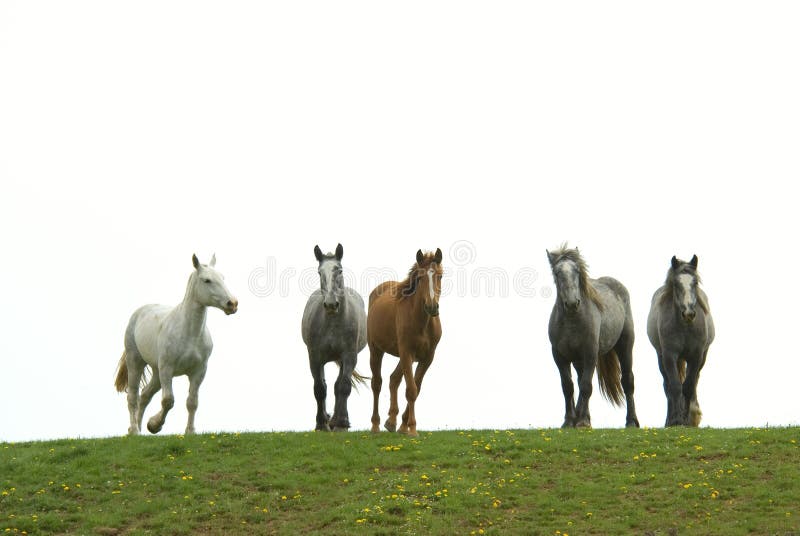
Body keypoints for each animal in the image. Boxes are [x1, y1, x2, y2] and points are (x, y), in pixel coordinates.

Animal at [114, 253, 238, 434]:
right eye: (207, 280)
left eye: (222, 277)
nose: (232, 304)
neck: (190, 334)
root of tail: (139, 313)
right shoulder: (167, 368)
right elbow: (168, 400)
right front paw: (154, 425)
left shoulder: (199, 371)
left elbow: (192, 402)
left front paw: (190, 431)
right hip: (136, 362)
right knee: (133, 396)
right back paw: (134, 430)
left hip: (157, 372)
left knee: (144, 396)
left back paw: (139, 429)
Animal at [300, 243, 368, 432]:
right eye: (319, 272)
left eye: (339, 270)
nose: (331, 304)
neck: (332, 324)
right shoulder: (315, 357)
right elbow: (319, 388)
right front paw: (321, 423)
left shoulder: (349, 356)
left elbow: (343, 386)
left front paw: (341, 423)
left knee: (339, 385)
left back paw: (338, 420)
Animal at [364, 249, 440, 438]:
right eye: (420, 277)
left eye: (440, 276)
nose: (432, 307)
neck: (422, 322)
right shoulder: (407, 352)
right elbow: (411, 390)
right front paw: (412, 429)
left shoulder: (427, 358)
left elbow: (415, 388)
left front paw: (404, 426)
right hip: (376, 351)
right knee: (377, 384)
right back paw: (375, 425)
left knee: (393, 379)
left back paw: (391, 421)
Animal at [548, 246, 640, 428]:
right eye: (556, 272)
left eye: (577, 270)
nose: (572, 303)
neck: (572, 320)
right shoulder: (559, 357)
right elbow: (568, 387)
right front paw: (569, 421)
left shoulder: (590, 354)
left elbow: (586, 386)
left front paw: (582, 422)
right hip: (578, 360)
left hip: (625, 347)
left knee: (627, 381)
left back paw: (631, 421)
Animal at [648, 255, 716, 428]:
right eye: (676, 284)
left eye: (695, 283)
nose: (689, 313)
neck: (685, 327)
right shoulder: (669, 356)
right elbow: (675, 386)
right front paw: (676, 420)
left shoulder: (696, 356)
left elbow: (689, 386)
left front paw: (686, 419)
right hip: (661, 358)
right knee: (667, 386)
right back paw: (670, 419)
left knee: (694, 382)